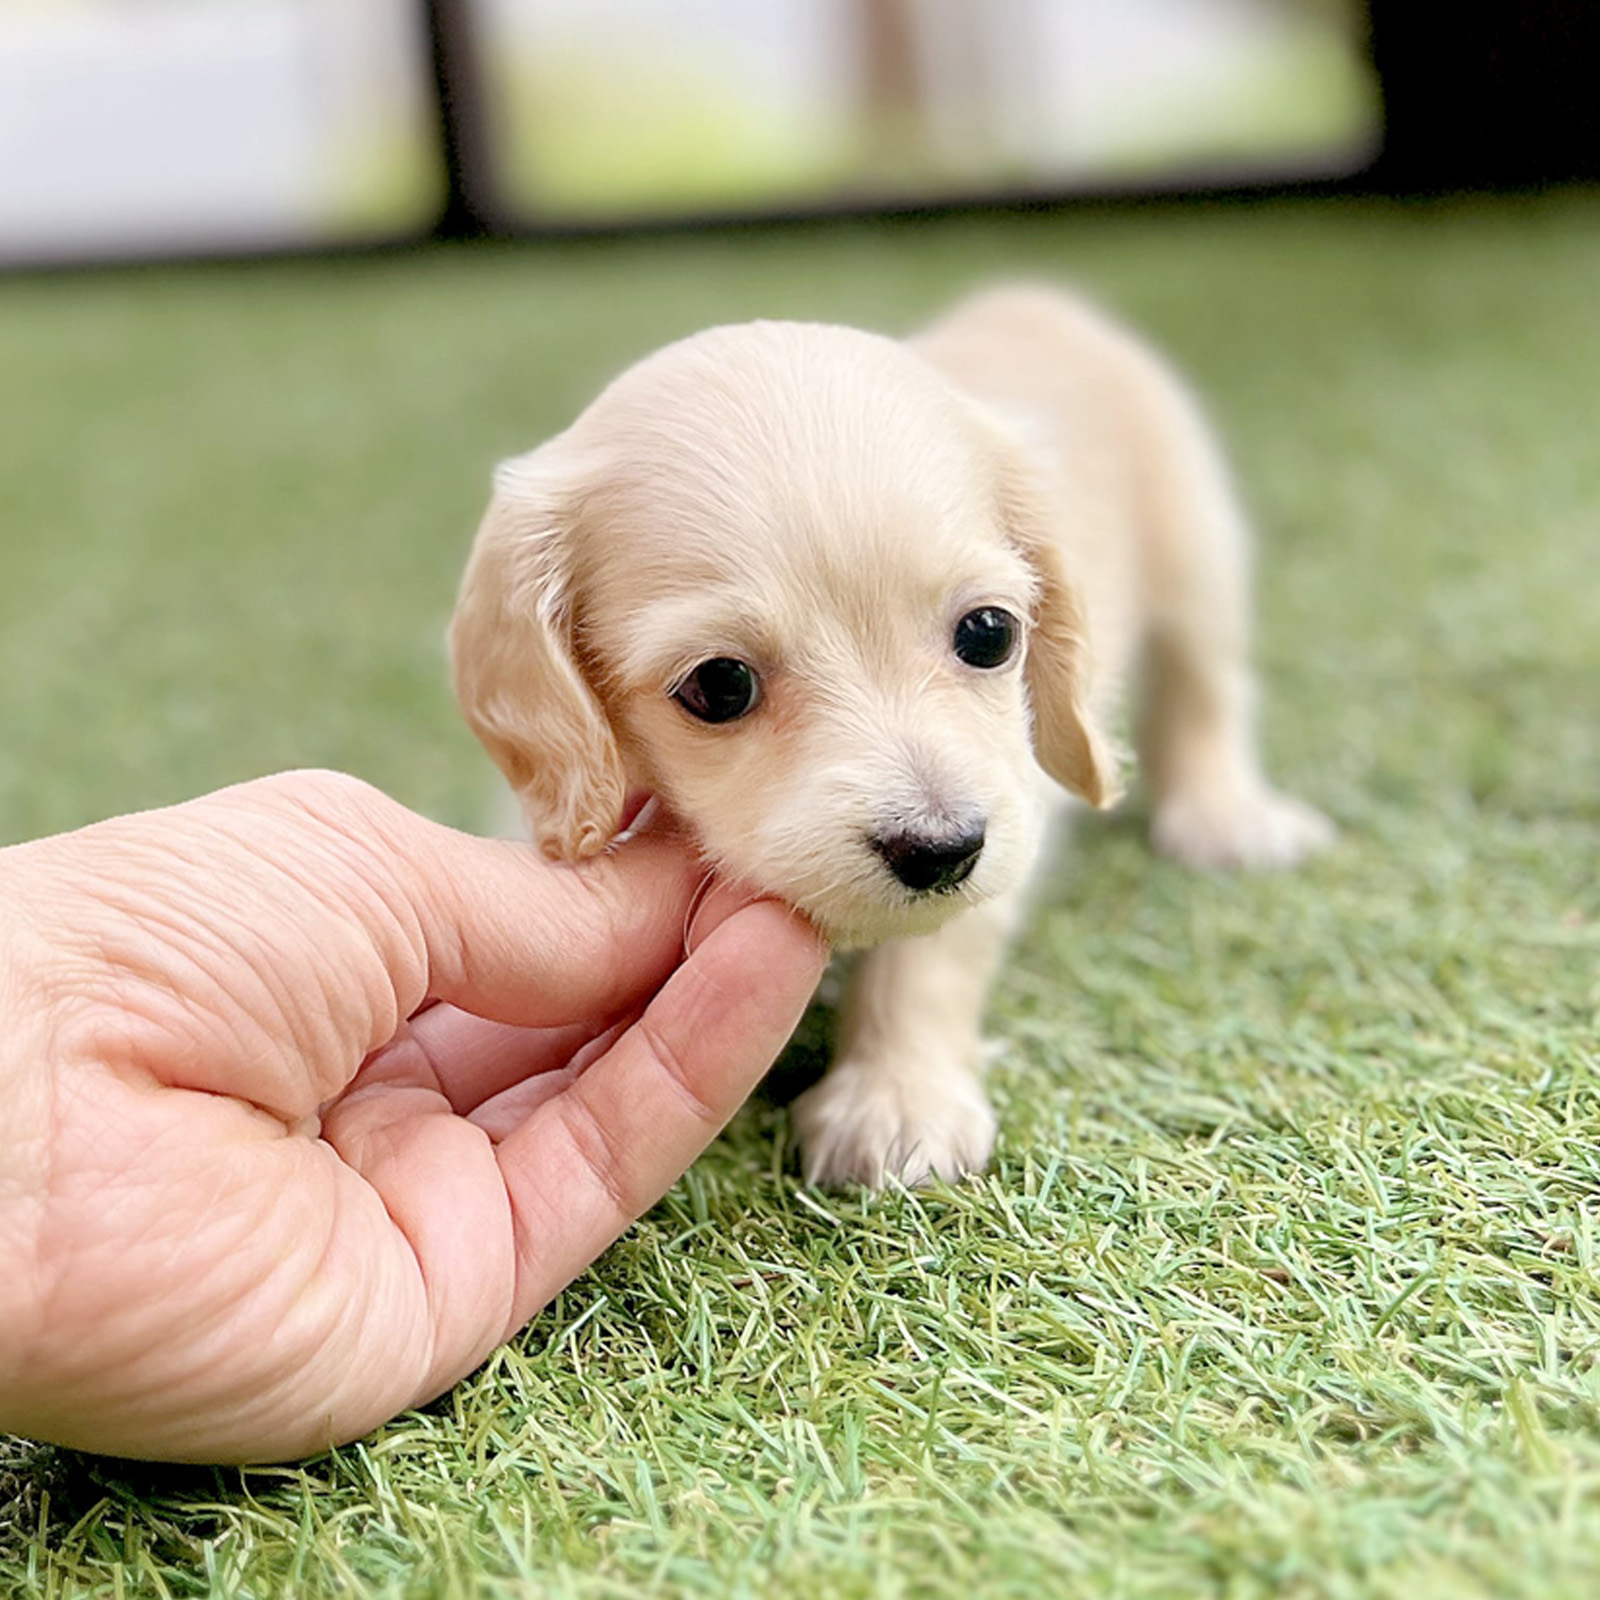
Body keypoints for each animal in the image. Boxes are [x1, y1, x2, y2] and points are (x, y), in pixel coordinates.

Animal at [448, 288, 1324, 1190]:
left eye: (989, 634)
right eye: (720, 685)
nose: (942, 851)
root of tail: (1032, 296)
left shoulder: (1010, 796)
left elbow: (933, 953)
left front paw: (898, 1098)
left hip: (1199, 559)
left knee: (1203, 691)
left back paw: (1224, 815)